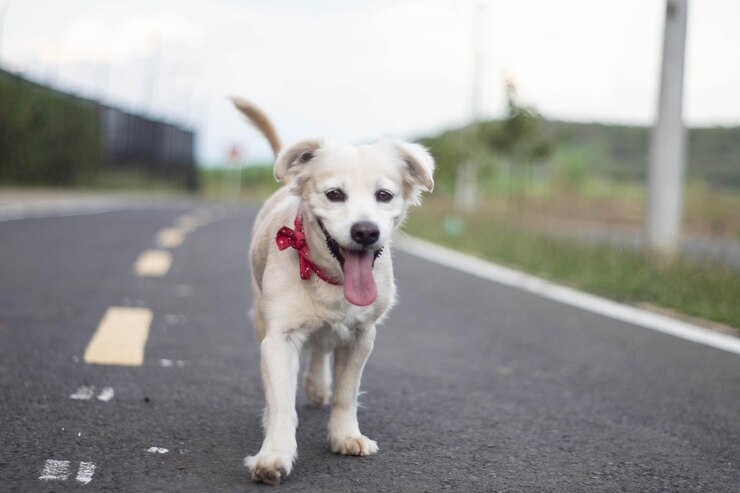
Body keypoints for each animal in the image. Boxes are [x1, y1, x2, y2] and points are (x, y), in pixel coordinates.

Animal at [233, 97, 434, 484]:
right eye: (334, 195)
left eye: (384, 195)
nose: (366, 231)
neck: (331, 280)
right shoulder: (279, 338)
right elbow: (281, 402)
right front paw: (274, 455)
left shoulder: (361, 336)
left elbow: (346, 393)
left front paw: (345, 436)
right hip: (260, 314)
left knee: (321, 350)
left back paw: (317, 385)